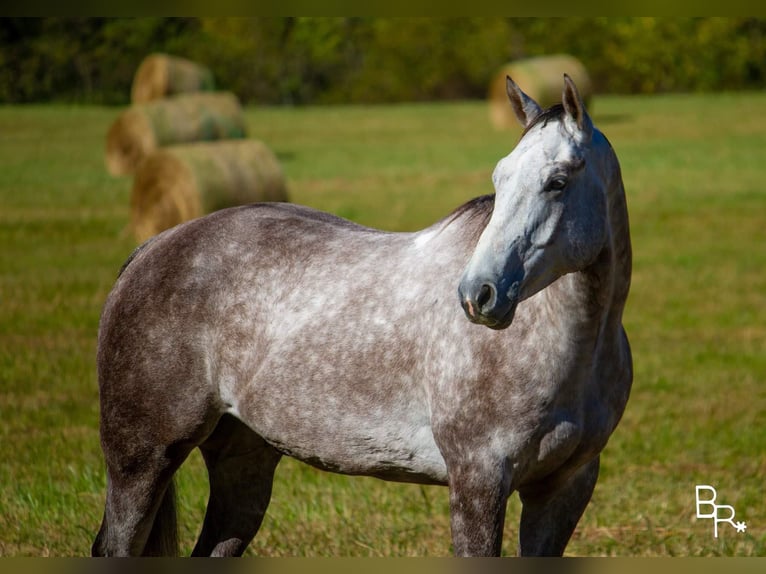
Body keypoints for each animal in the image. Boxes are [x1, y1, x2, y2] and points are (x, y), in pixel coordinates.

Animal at [91, 76, 632, 560]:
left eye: (557, 182)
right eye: (499, 180)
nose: (479, 294)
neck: (567, 346)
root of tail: (151, 248)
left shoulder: (564, 488)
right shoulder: (479, 482)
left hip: (243, 463)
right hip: (142, 461)